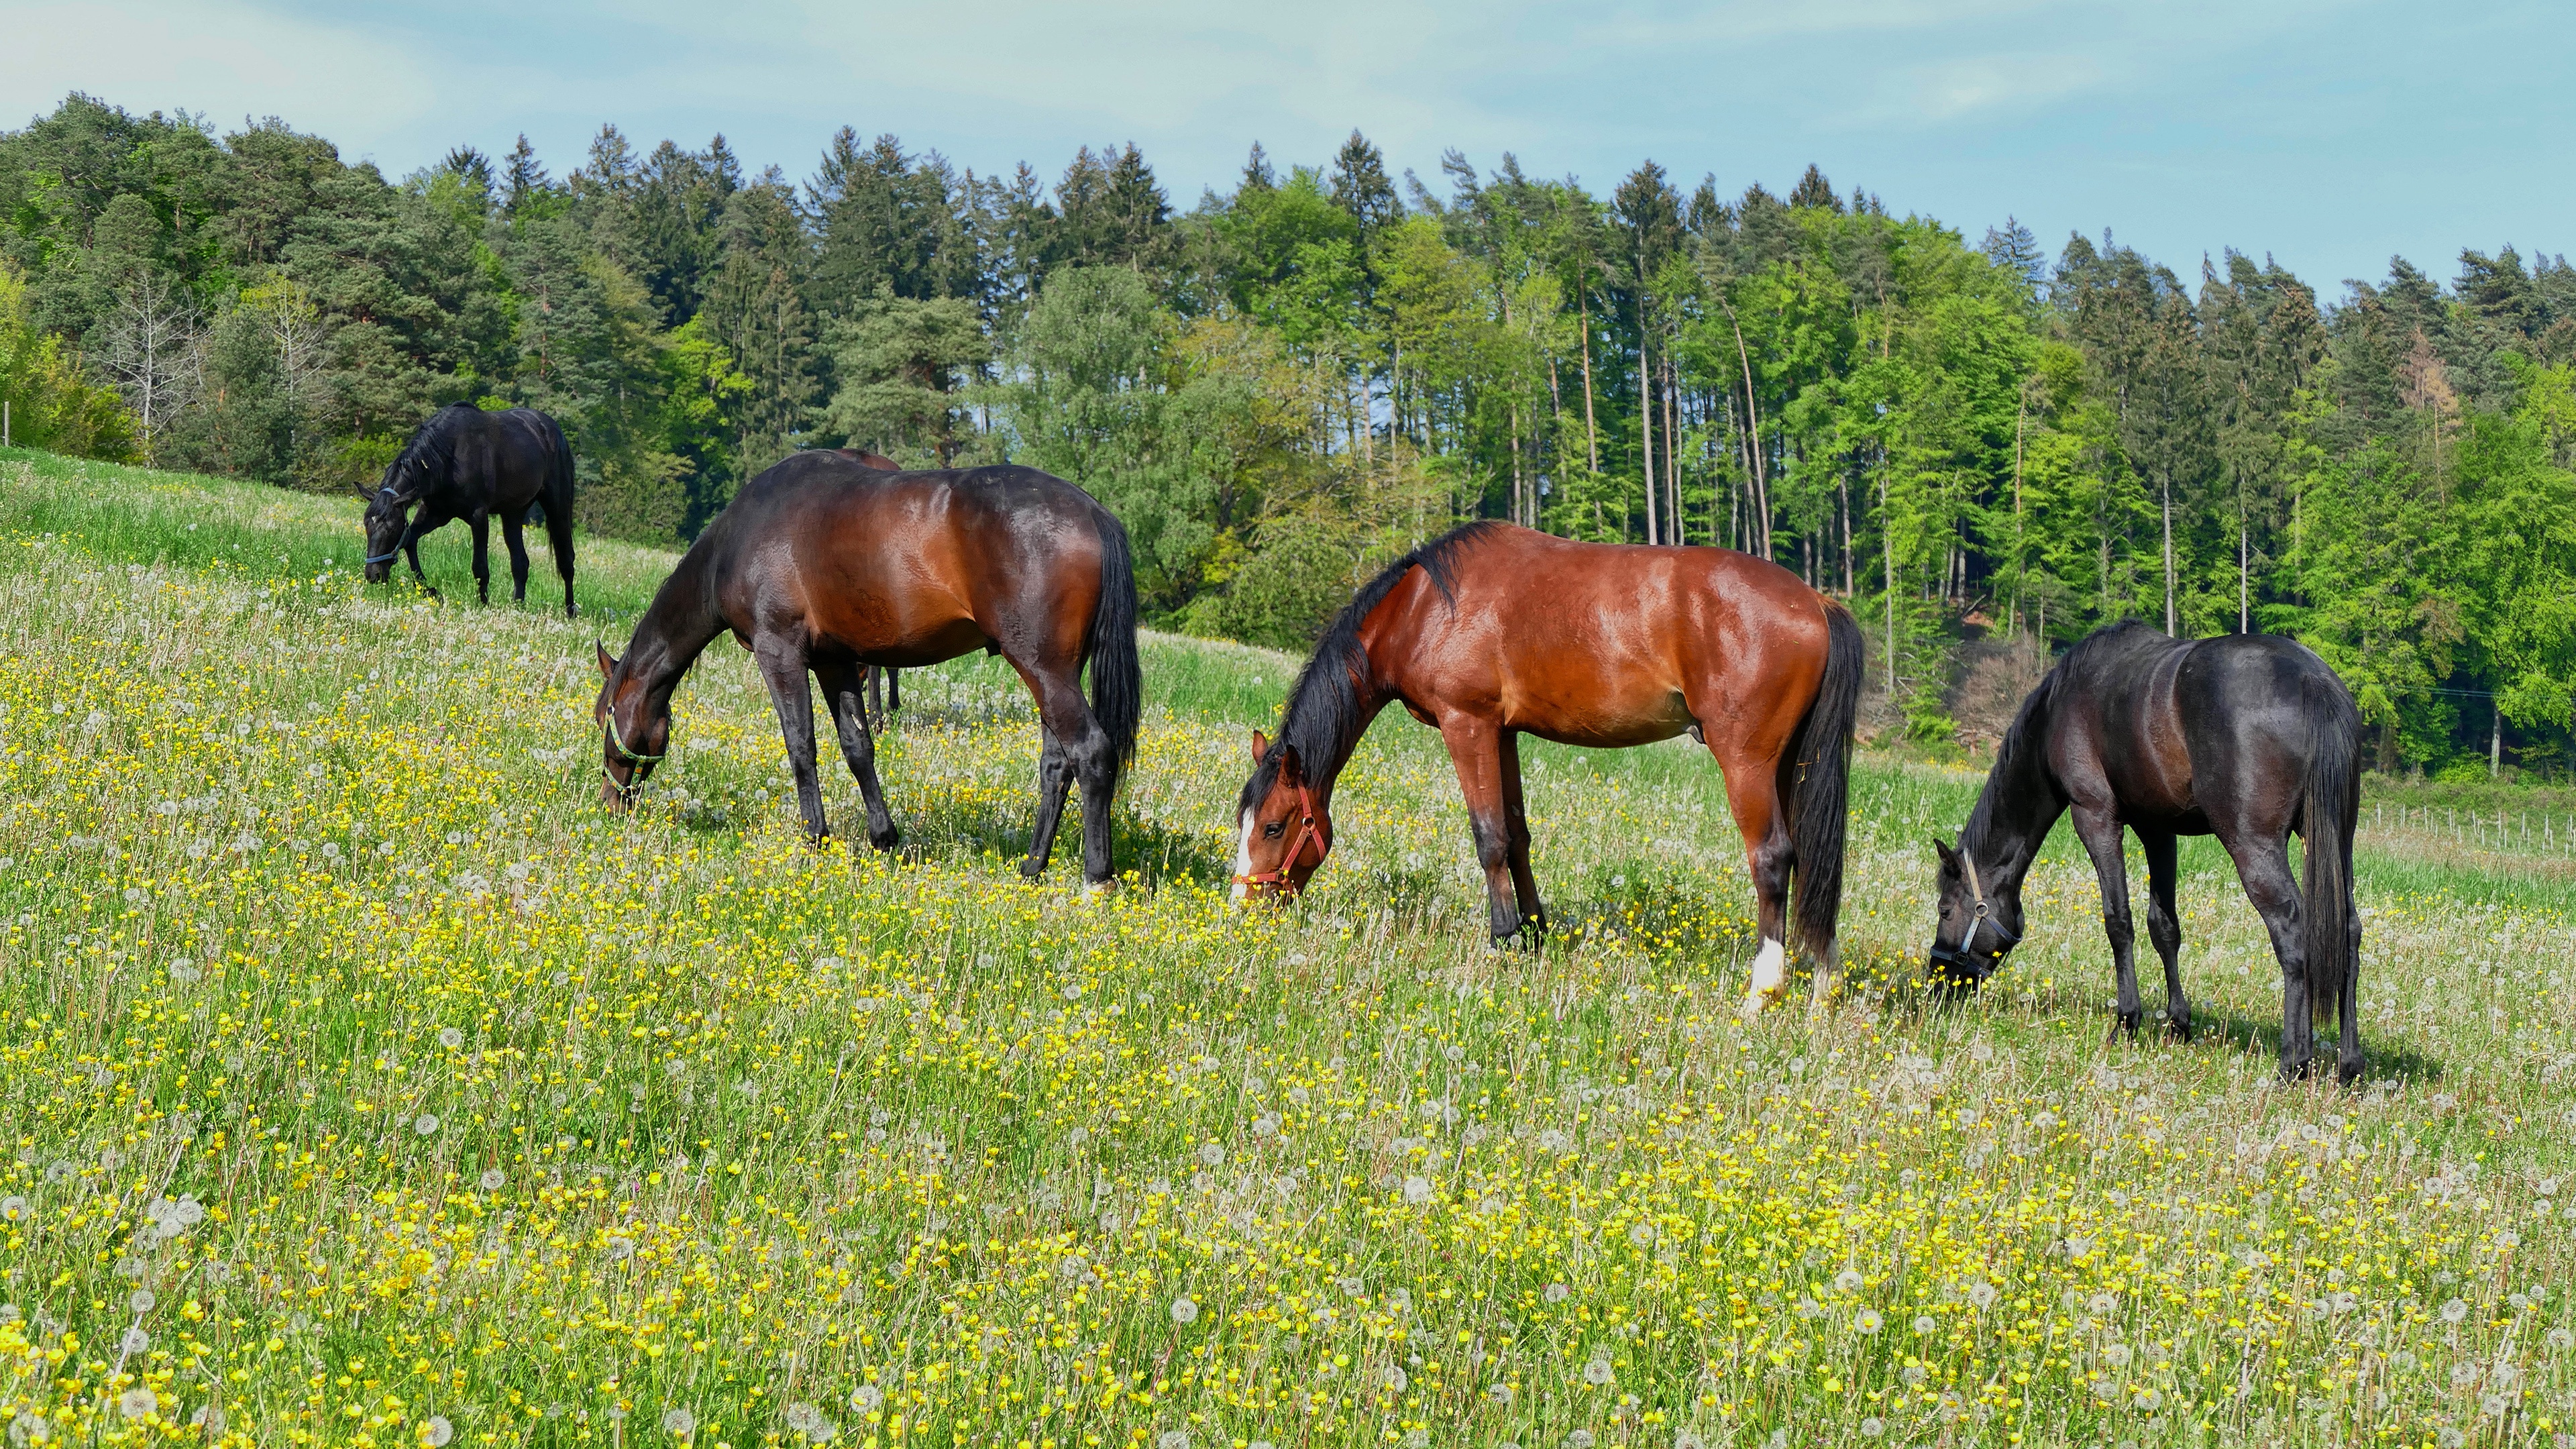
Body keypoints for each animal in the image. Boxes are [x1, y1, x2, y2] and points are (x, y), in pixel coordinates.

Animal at [363, 399, 580, 613]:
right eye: (367, 525)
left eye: (392, 528)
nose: (373, 575)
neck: (450, 455)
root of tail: (553, 429)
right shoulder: (436, 513)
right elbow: (409, 540)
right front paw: (430, 590)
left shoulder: (478, 516)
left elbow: (480, 567)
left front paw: (483, 604)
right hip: (513, 513)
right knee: (520, 563)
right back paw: (518, 605)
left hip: (557, 507)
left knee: (566, 560)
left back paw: (570, 610)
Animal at [597, 451, 1143, 881]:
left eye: (604, 718)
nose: (610, 803)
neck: (741, 538)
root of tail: (1094, 513)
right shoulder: (835, 660)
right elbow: (858, 748)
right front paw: (884, 838)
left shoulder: (781, 653)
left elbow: (802, 747)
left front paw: (814, 838)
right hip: (1055, 673)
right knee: (1057, 763)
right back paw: (1032, 865)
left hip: (1043, 669)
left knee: (1091, 753)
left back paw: (1097, 877)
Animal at [1231, 518, 1865, 1005]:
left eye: (1275, 826)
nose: (1242, 908)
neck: (1424, 607)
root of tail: (1817, 603)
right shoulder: (1504, 733)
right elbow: (1517, 836)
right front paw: (1535, 936)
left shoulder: (1468, 725)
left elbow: (1488, 837)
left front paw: (1501, 941)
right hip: (1791, 765)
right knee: (1813, 859)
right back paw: (1823, 988)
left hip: (1748, 763)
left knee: (1773, 858)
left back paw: (1763, 991)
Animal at [1927, 621, 2359, 1083]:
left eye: (1945, 910)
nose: (1936, 982)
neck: (2061, 706)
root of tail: (2312, 681)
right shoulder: (2158, 829)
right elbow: (2164, 926)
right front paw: (2179, 1023)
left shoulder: (2095, 817)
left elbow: (2119, 921)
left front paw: (2127, 1021)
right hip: (2336, 841)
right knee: (2349, 930)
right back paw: (2349, 1065)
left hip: (2253, 845)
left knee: (2292, 930)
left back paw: (2294, 1061)